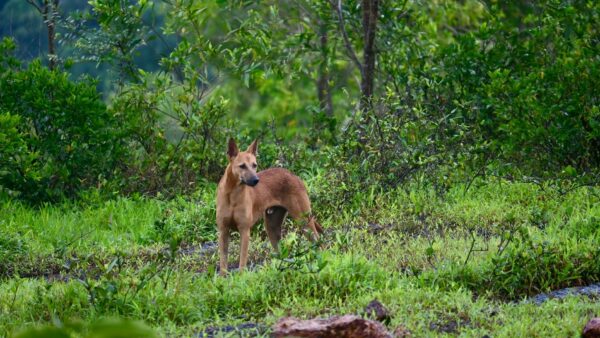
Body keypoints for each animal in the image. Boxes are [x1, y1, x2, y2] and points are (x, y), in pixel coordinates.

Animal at [214, 139, 322, 274]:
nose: (256, 180)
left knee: (320, 244)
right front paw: (222, 278)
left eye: (254, 165)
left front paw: (241, 277)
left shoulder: (244, 231)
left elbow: (242, 262)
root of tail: (294, 176)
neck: (233, 194)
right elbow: (223, 263)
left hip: (303, 222)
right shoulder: (223, 231)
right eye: (242, 166)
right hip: (272, 228)